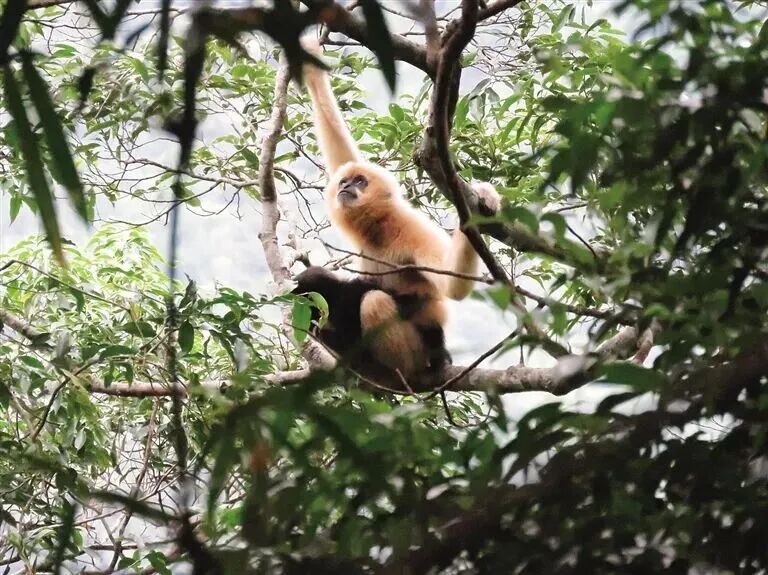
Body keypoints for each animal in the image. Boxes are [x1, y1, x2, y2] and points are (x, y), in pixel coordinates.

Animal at [297, 39, 500, 382]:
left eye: (361, 181)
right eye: (345, 180)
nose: (345, 187)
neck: (380, 228)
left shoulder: (410, 229)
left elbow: (453, 286)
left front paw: (480, 204)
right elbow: (340, 152)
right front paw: (311, 63)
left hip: (416, 352)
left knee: (373, 299)